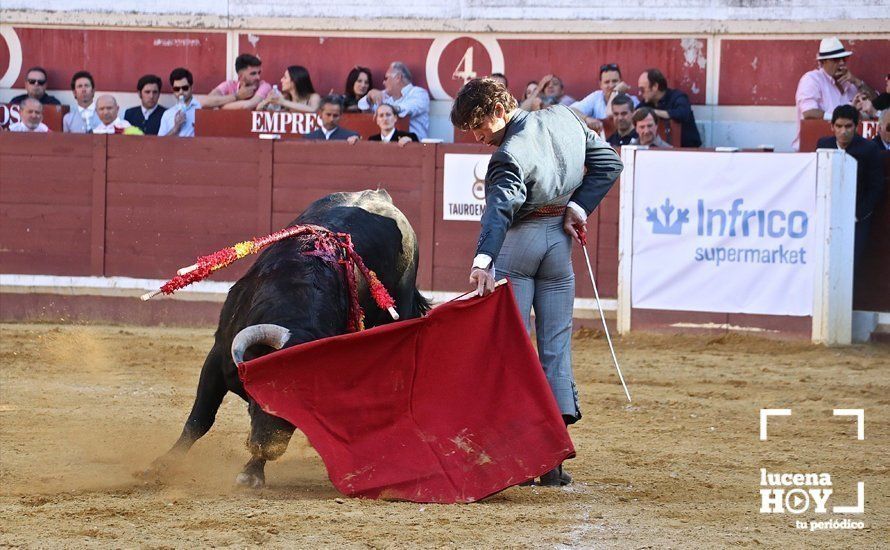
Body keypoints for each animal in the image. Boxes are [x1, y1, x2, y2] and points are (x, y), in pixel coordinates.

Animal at [146, 190, 430, 488]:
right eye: (265, 392)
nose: (267, 449)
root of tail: (378, 194)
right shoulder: (217, 357)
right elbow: (200, 419)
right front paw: (162, 466)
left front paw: (252, 472)